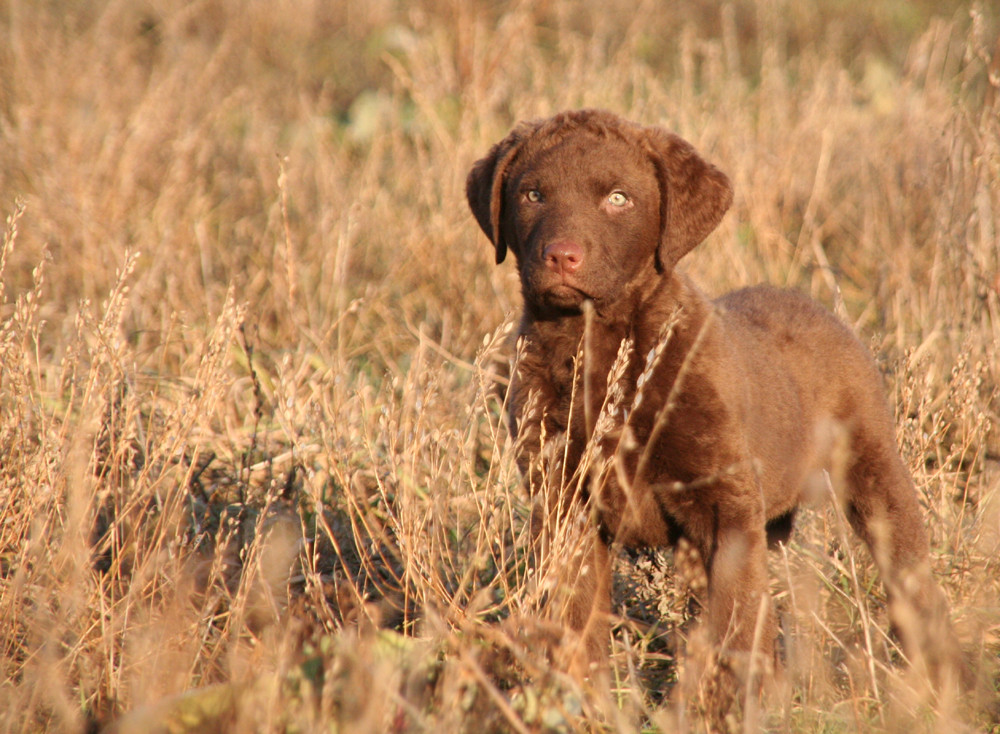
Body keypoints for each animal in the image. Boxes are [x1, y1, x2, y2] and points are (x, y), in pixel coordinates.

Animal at [464, 108, 956, 688]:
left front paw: (729, 698)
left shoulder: (725, 504)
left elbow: (735, 621)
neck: (601, 348)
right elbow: (575, 614)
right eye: (533, 194)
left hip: (873, 469)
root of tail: (819, 308)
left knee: (906, 568)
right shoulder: (561, 501)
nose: (562, 256)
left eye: (618, 198)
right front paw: (577, 690)